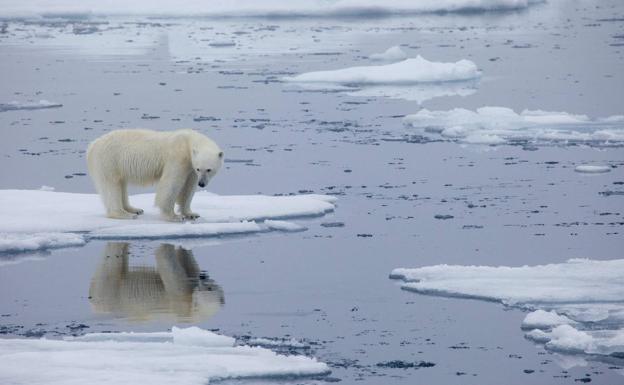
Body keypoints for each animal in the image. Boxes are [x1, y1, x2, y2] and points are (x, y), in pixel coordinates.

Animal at [86, 128, 223, 220]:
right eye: (200, 169)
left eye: (209, 169)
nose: (202, 184)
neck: (188, 141)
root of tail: (92, 145)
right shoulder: (178, 158)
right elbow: (171, 184)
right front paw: (174, 216)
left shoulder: (190, 167)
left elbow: (189, 188)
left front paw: (191, 213)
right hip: (109, 160)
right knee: (111, 185)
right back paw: (123, 214)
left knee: (121, 184)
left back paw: (135, 209)